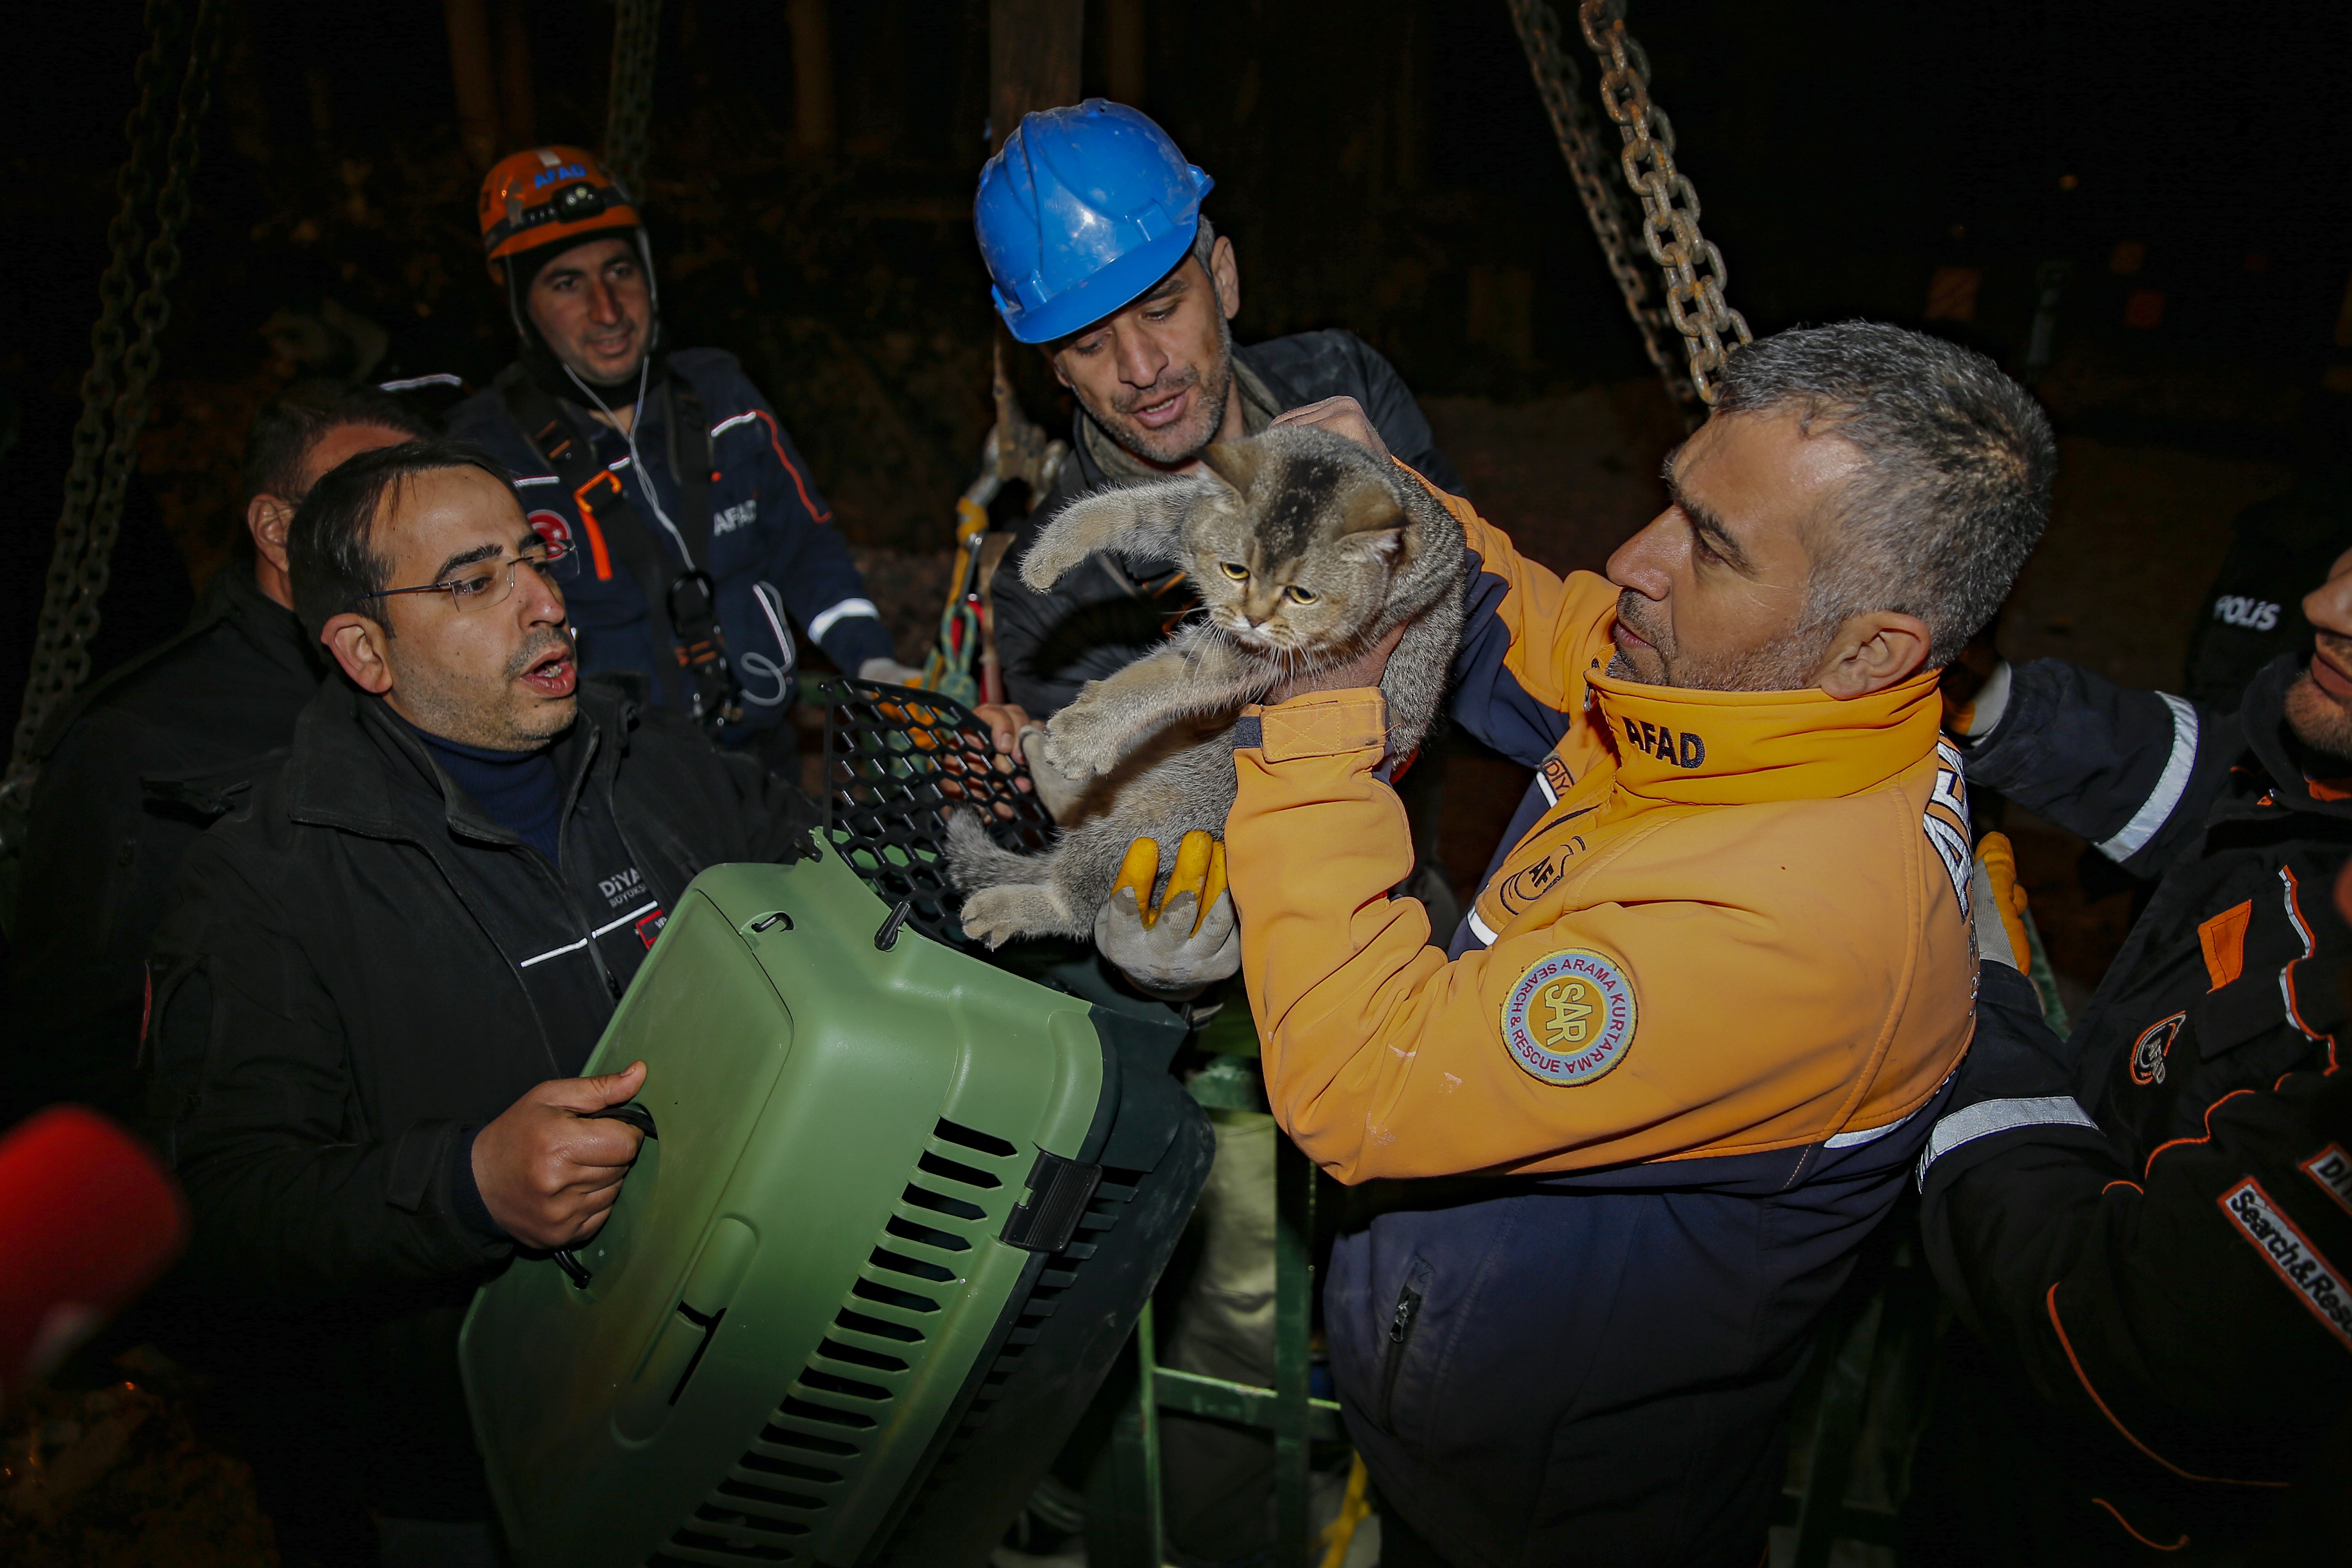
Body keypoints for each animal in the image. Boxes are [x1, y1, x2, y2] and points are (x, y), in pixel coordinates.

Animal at [945, 423, 1458, 950]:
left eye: (1303, 595)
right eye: (1236, 569)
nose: (1253, 616)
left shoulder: (1257, 654)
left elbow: (1166, 678)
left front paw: (1087, 731)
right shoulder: (1188, 514)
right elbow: (1127, 508)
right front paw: (1053, 548)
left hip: (1152, 817)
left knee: (1078, 903)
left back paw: (1021, 901)